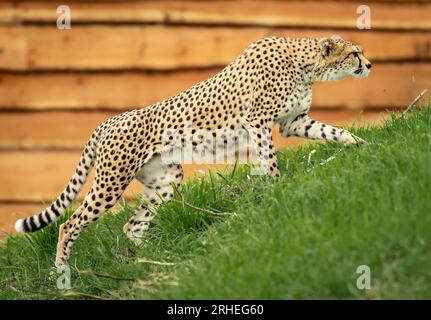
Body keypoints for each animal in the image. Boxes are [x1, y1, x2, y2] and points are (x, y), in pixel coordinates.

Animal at [13, 35, 372, 268]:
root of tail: (108, 120)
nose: (369, 64)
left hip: (167, 178)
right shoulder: (257, 121)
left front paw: (361, 145)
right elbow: (270, 161)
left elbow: (331, 131)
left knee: (133, 225)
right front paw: (278, 188)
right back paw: (61, 274)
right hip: (110, 183)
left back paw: (156, 258)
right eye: (355, 53)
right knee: (69, 225)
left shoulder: (292, 122)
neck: (305, 63)